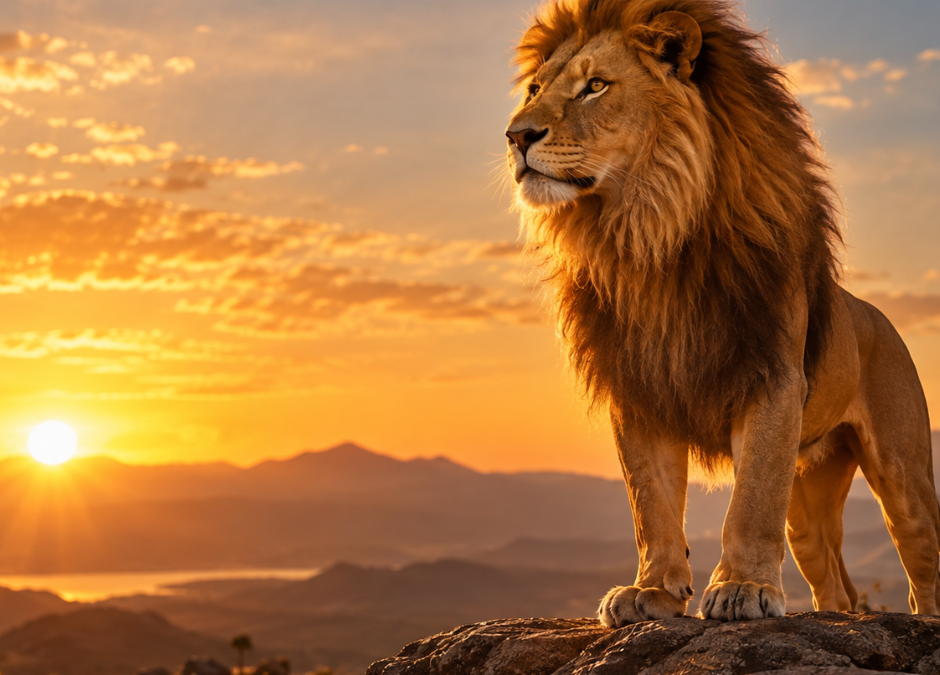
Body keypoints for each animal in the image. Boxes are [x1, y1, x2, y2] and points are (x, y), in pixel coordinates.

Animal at [505, 0, 940, 625]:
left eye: (595, 86)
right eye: (535, 88)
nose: (516, 135)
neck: (648, 234)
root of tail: (876, 315)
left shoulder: (771, 376)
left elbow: (751, 500)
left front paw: (742, 588)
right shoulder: (640, 389)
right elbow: (651, 502)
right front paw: (653, 592)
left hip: (903, 476)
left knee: (922, 565)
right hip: (807, 499)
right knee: (837, 586)